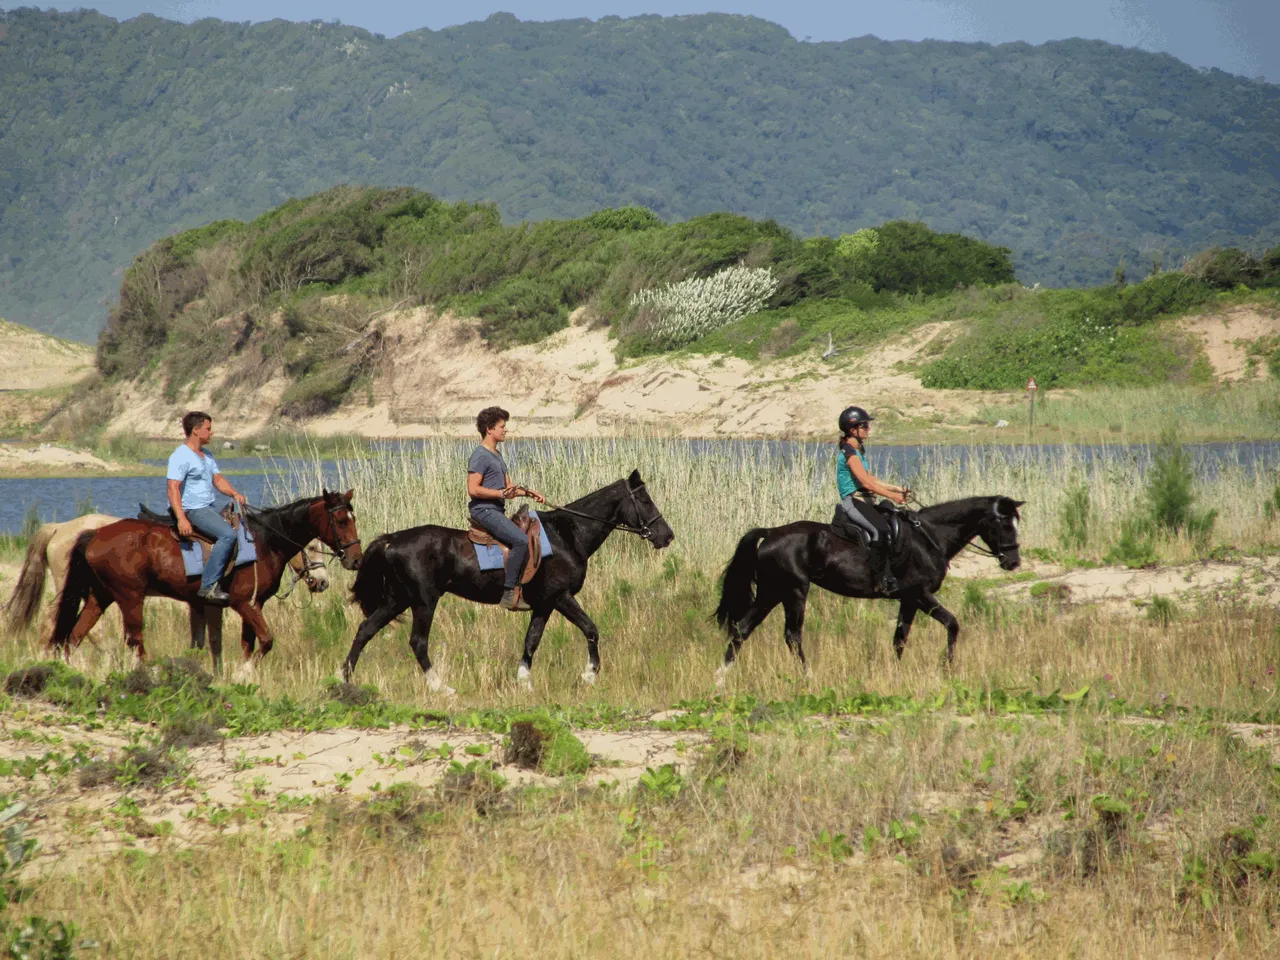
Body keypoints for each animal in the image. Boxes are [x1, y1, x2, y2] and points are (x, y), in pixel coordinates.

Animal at [3, 514, 330, 670]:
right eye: (312, 545)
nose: (323, 581)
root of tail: (61, 528)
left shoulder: (204, 605)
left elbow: (207, 642)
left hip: (96, 593)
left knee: (75, 628)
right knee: (59, 622)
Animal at [49, 496, 360, 675]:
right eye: (340, 520)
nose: (355, 559)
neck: (263, 542)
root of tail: (94, 533)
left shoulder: (251, 605)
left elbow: (247, 643)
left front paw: (245, 678)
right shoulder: (243, 604)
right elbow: (266, 640)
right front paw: (243, 674)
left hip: (100, 597)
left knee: (74, 636)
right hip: (130, 597)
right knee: (134, 641)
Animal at [345, 471, 675, 691]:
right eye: (644, 499)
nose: (667, 536)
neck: (568, 535)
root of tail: (391, 540)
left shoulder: (544, 605)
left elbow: (532, 640)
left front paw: (524, 681)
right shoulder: (561, 597)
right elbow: (591, 629)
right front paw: (589, 675)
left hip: (397, 600)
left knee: (365, 631)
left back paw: (345, 678)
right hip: (424, 601)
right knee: (418, 642)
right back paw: (442, 687)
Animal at [716, 499, 1024, 680]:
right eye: (1004, 524)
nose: (1013, 562)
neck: (930, 538)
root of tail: (770, 533)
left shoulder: (908, 600)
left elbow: (900, 638)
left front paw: (895, 673)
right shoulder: (920, 595)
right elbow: (952, 624)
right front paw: (947, 667)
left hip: (771, 592)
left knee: (742, 629)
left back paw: (721, 676)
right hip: (793, 592)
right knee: (791, 635)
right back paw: (808, 675)